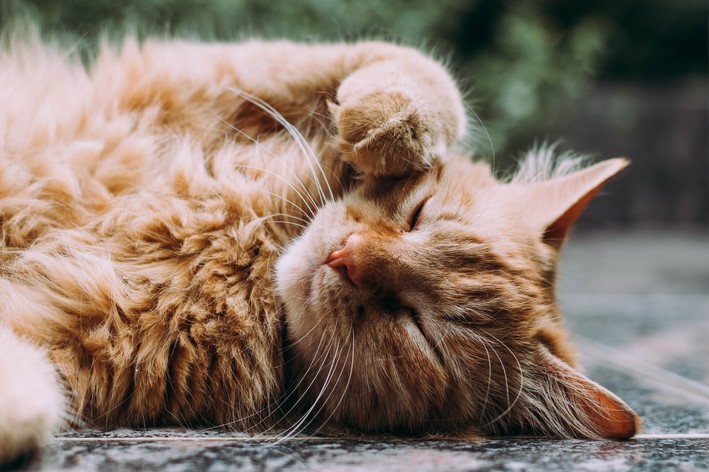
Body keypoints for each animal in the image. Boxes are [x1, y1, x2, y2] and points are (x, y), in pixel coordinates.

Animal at [0, 30, 640, 464]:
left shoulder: (75, 344)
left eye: (421, 331)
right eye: (418, 215)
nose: (345, 257)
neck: (255, 246)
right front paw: (385, 124)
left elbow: (35, 388)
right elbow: (421, 71)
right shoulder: (192, 80)